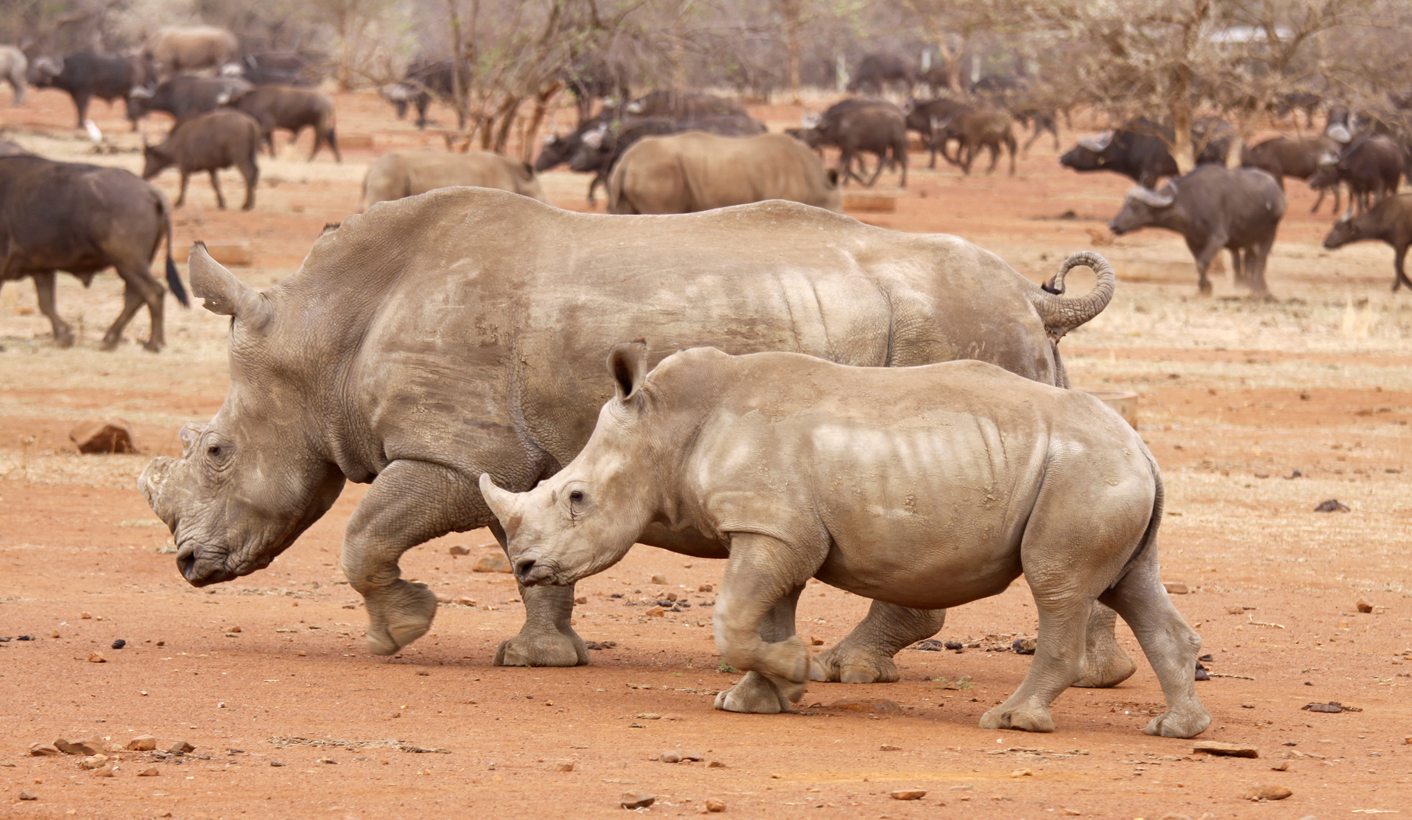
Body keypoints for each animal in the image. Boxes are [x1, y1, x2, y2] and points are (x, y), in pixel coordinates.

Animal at [137, 188, 1131, 688]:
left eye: (216, 452)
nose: (185, 565)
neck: (323, 333)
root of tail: (1035, 296)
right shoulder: (522, 457)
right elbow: (528, 551)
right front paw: (539, 659)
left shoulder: (456, 449)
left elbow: (363, 534)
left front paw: (401, 633)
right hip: (1000, 342)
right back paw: (1097, 678)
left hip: (956, 331)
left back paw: (847, 669)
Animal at [480, 344, 1210, 738]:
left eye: (576, 498)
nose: (524, 565)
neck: (670, 428)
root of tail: (1142, 447)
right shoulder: (778, 530)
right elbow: (762, 616)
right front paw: (758, 698)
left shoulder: (770, 528)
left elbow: (733, 618)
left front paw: (800, 669)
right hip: (1104, 472)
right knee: (1131, 586)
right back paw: (1177, 729)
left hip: (1082, 473)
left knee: (1057, 587)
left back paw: (1010, 721)